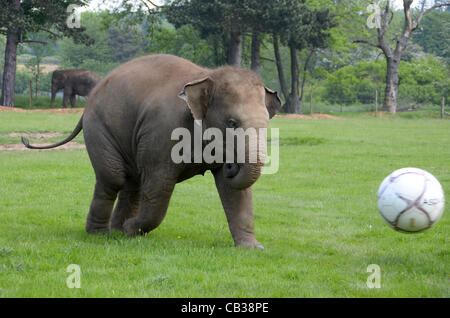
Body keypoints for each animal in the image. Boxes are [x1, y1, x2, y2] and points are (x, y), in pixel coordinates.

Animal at [22, 54, 282, 248]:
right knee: (113, 178)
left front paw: (253, 248)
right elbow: (159, 186)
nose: (231, 166)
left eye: (267, 123)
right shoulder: (162, 132)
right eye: (231, 122)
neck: (205, 76)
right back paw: (101, 234)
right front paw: (132, 229)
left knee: (132, 182)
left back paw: (118, 231)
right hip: (98, 128)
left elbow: (235, 192)